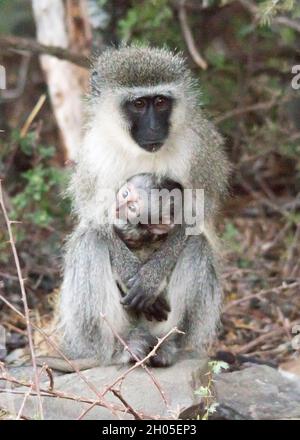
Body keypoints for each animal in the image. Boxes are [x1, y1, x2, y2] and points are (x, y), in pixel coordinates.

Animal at [59, 45, 230, 368]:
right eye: (138, 104)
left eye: (160, 102)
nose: (153, 127)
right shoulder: (93, 154)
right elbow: (95, 220)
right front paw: (130, 274)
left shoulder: (200, 150)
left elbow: (196, 218)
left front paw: (151, 278)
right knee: (89, 242)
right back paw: (119, 349)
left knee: (198, 245)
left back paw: (166, 347)